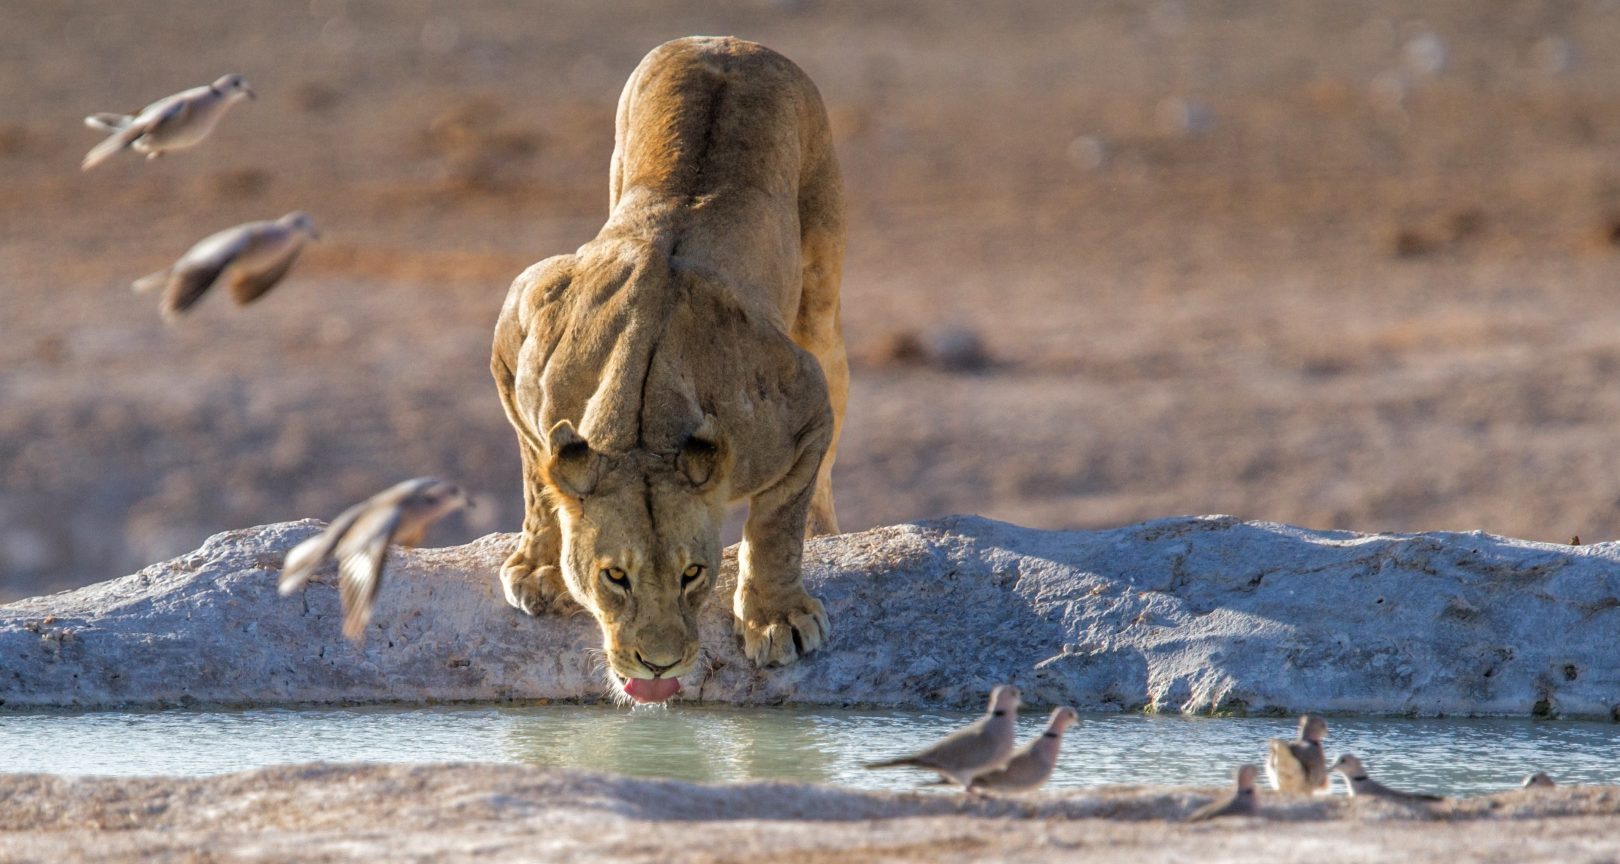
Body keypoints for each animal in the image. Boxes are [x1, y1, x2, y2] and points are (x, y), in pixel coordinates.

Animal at [490, 36, 848, 703]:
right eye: (614, 576)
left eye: (693, 573)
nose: (657, 665)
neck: (640, 422)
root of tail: (730, 41)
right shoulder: (519, 323)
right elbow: (537, 474)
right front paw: (541, 565)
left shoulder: (802, 398)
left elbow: (777, 523)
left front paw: (775, 617)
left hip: (821, 297)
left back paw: (826, 532)